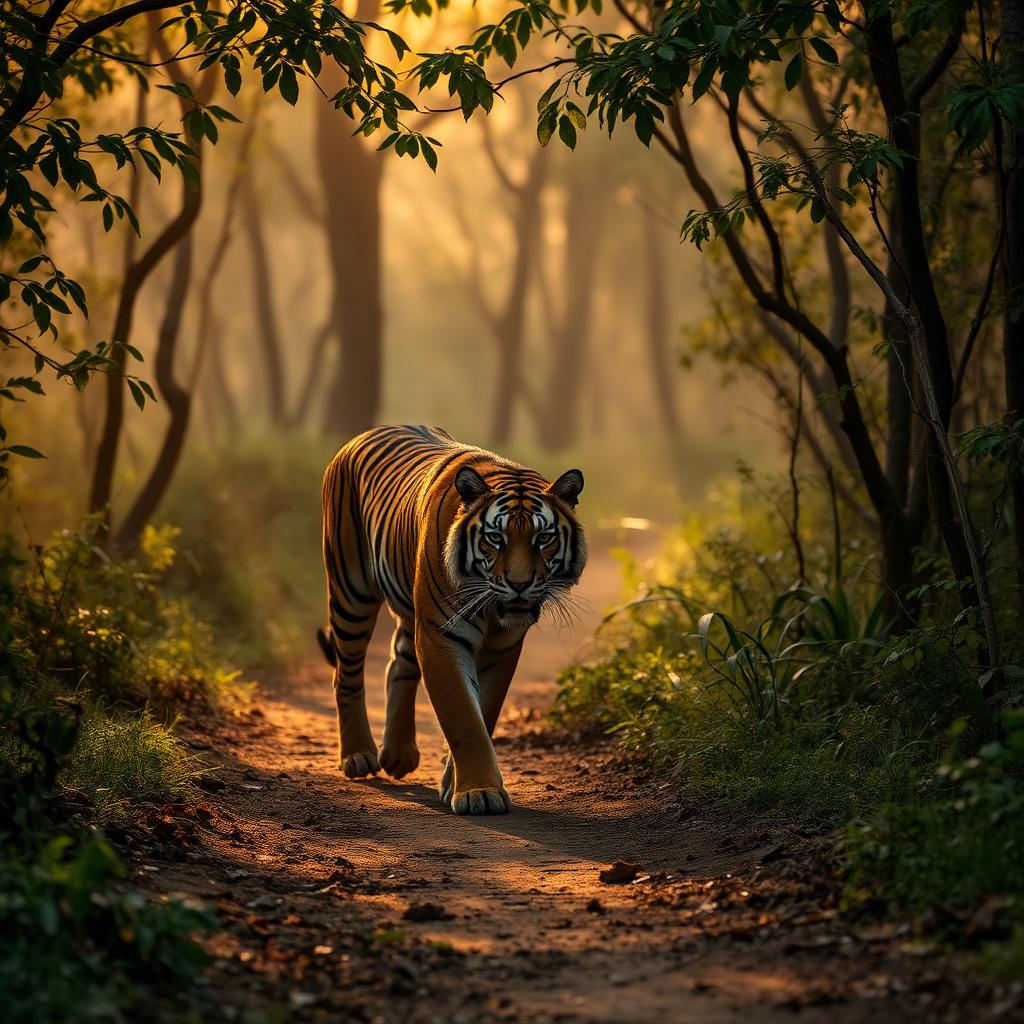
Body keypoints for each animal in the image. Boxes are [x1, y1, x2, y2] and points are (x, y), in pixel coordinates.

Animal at [317, 424, 586, 815]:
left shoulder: (502, 649)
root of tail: (362, 434)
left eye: (544, 538)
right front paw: (480, 793)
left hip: (409, 608)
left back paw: (397, 755)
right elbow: (463, 718)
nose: (520, 584)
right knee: (345, 673)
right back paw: (358, 755)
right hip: (352, 589)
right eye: (495, 538)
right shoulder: (440, 635)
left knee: (398, 664)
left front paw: (456, 786)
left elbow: (484, 712)